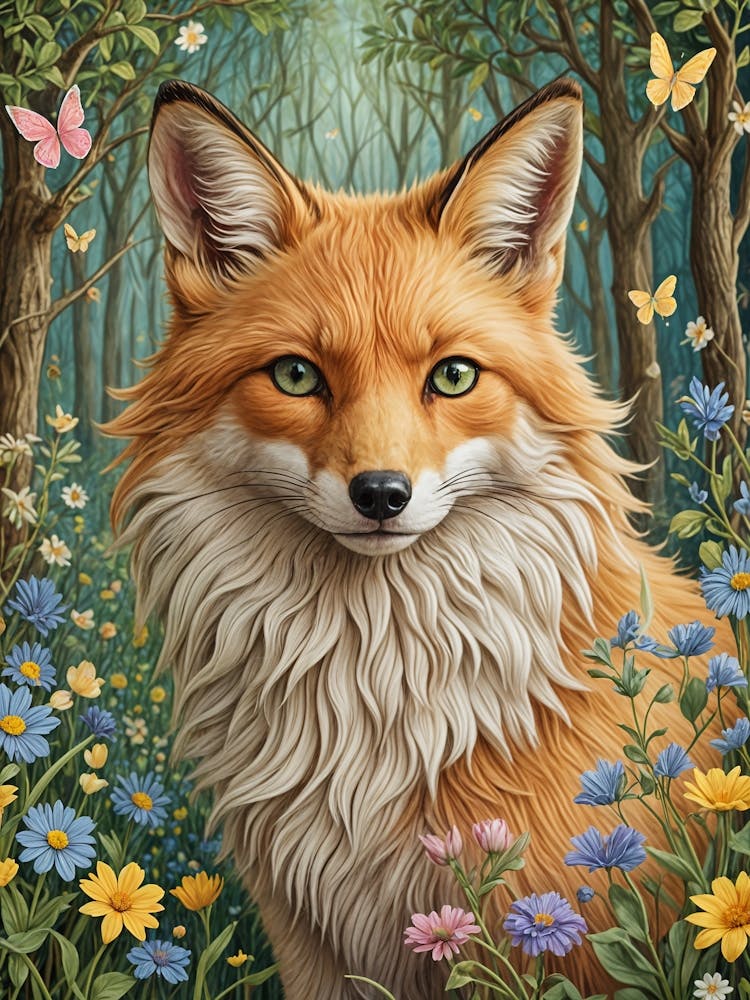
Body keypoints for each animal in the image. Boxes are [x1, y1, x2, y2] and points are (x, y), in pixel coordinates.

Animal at [107, 77, 729, 998]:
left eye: (454, 375)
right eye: (296, 375)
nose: (381, 494)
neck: (372, 700)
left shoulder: (549, 931)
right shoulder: (313, 943)